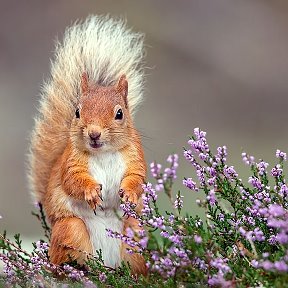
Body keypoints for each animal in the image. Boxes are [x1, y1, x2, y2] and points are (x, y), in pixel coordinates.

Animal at [27, 15, 146, 274]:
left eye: (120, 114)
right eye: (77, 112)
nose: (93, 134)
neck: (104, 153)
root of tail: (108, 264)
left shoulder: (135, 157)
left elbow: (137, 177)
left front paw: (130, 193)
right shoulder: (71, 162)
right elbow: (73, 180)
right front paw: (91, 192)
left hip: (136, 232)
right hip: (71, 229)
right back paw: (71, 270)